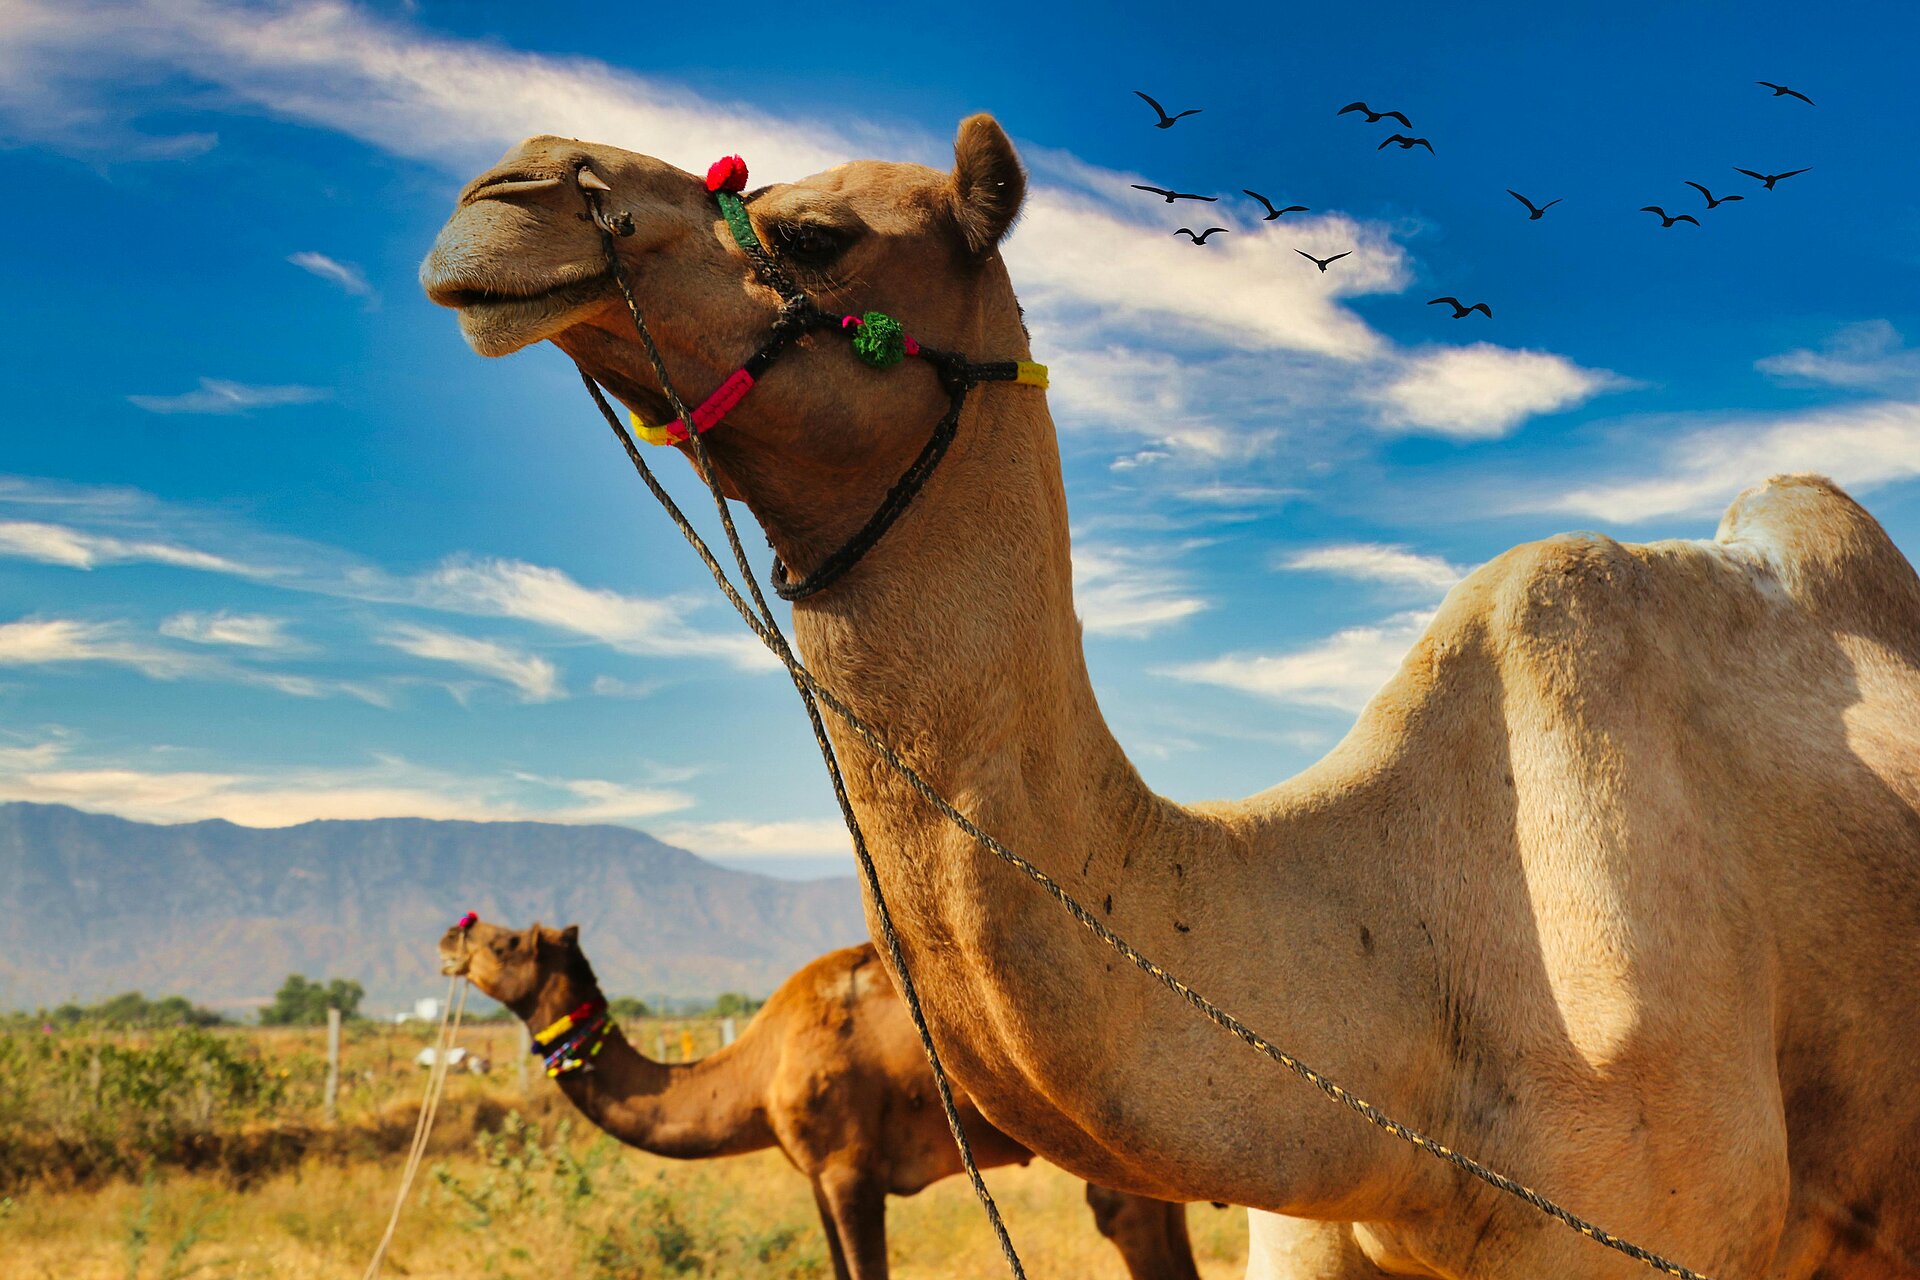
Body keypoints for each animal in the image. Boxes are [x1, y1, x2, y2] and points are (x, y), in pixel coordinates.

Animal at [436, 918, 1201, 1280]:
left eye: (507, 942)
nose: (451, 935)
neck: (758, 1066)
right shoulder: (814, 1178)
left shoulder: (847, 1169)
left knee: (1126, 1215)